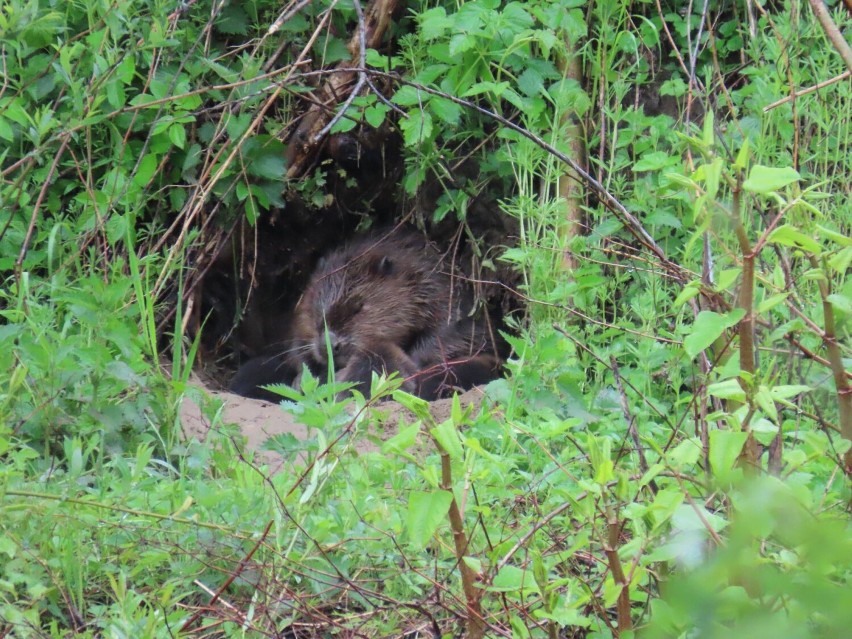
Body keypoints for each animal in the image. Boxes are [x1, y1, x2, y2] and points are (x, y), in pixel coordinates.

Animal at [230, 230, 502, 400]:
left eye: (358, 307)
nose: (330, 346)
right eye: (317, 309)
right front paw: (304, 376)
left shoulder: (443, 293)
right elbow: (297, 343)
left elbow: (451, 334)